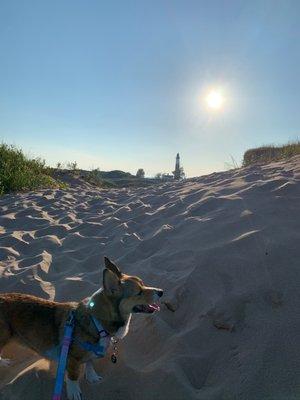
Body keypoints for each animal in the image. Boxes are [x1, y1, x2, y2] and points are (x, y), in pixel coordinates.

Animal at [0, 258, 163, 398]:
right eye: (139, 292)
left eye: (143, 283)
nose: (161, 292)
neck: (97, 321)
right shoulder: (72, 359)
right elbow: (73, 378)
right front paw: (74, 392)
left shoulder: (90, 353)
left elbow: (90, 363)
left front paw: (92, 377)